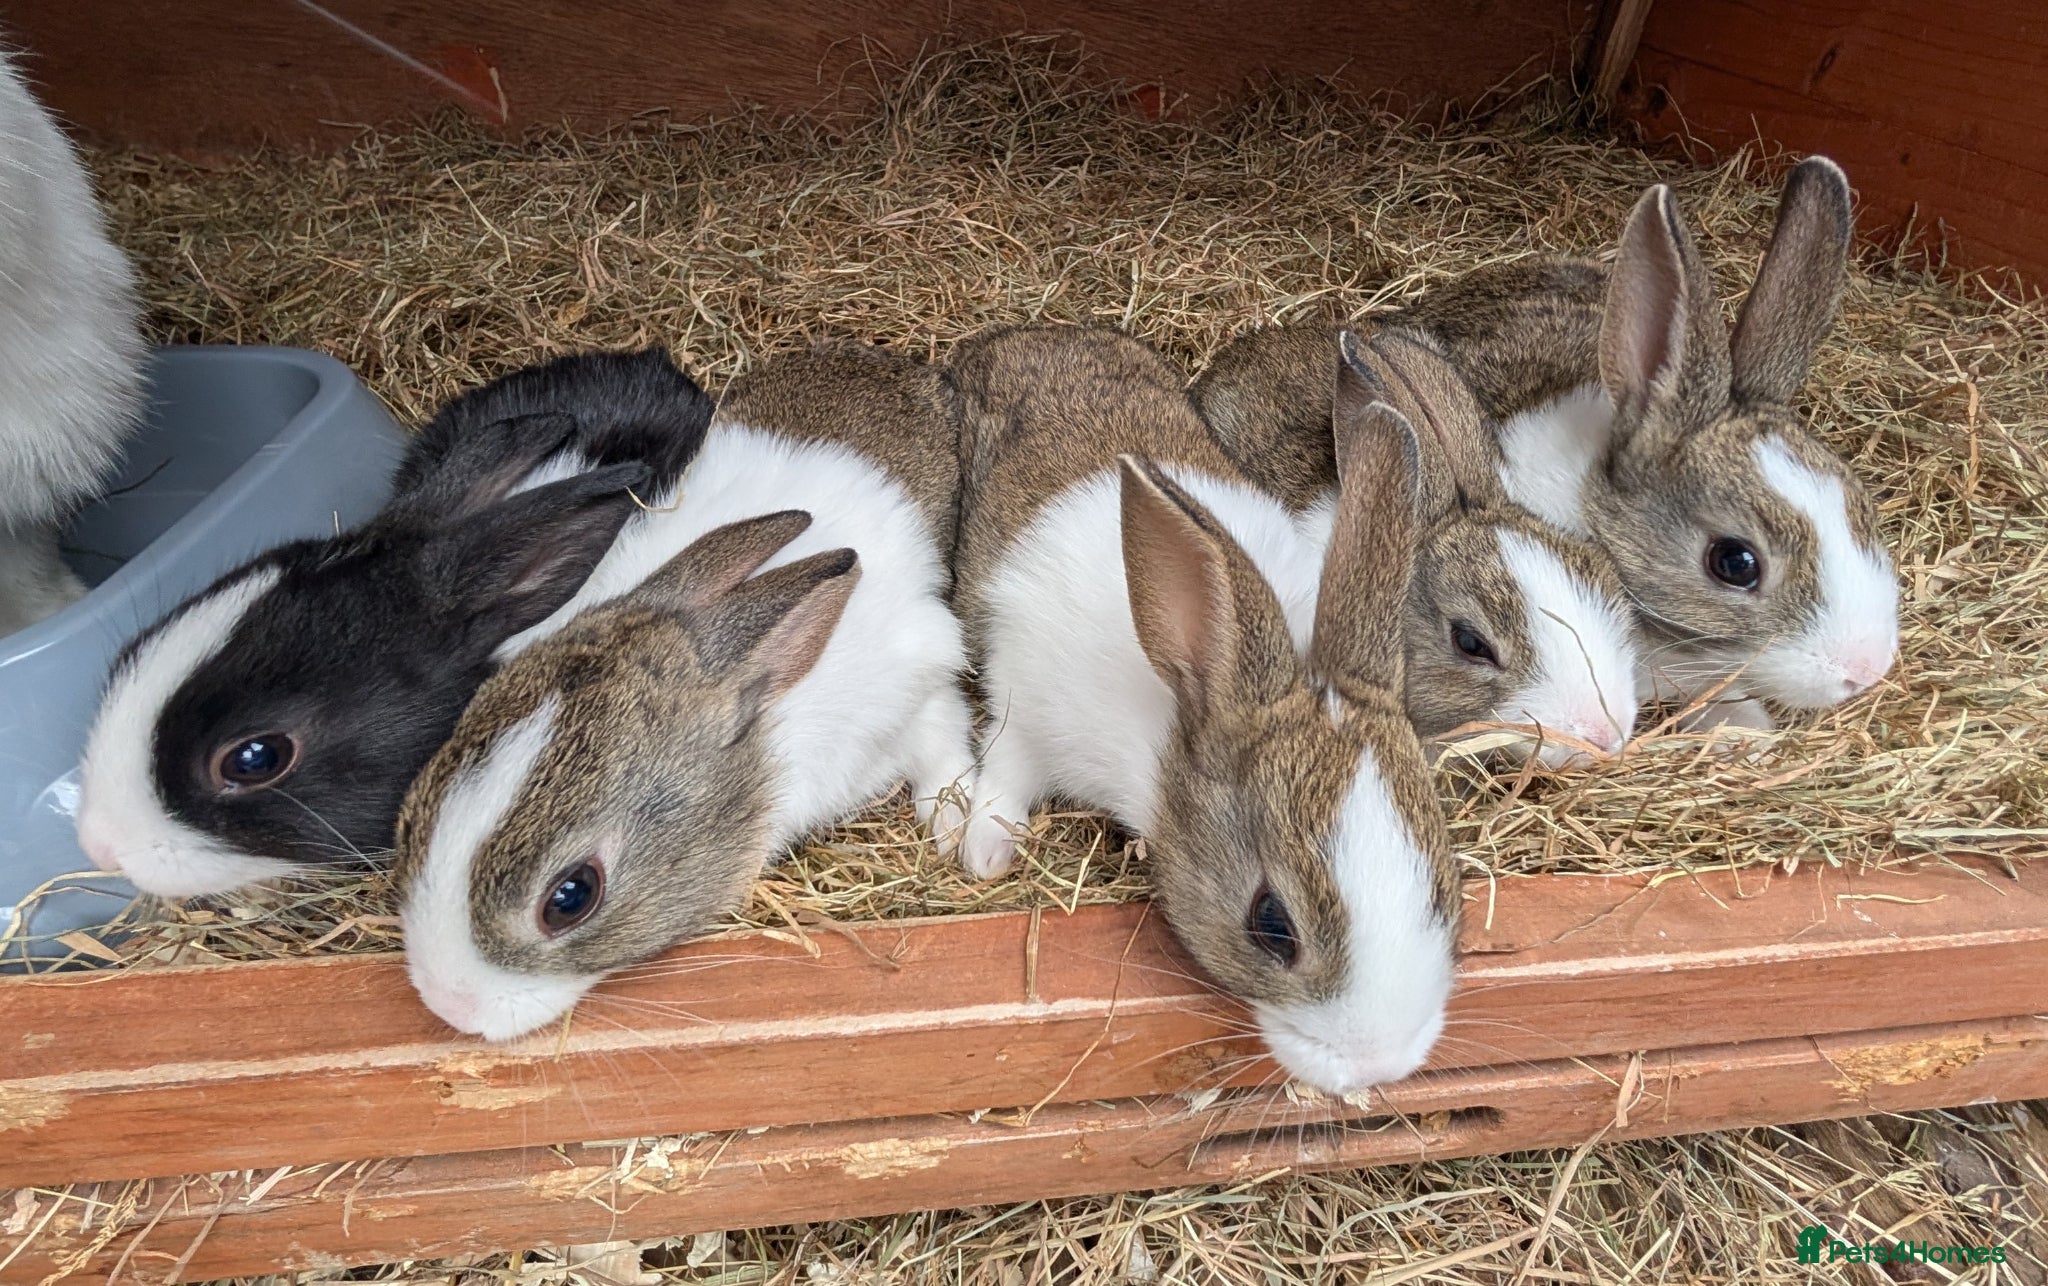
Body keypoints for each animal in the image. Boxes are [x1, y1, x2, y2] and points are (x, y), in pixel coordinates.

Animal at [396, 345, 974, 1042]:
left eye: (571, 897)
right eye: (413, 815)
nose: (446, 1002)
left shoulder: (919, 693)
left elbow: (945, 753)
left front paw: (968, 839)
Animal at [948, 322, 1459, 1096]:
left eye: (1441, 888)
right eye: (1271, 925)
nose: (1381, 1062)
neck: (1185, 702)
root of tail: (1025, 335)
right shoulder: (1024, 709)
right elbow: (1002, 782)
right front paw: (985, 855)